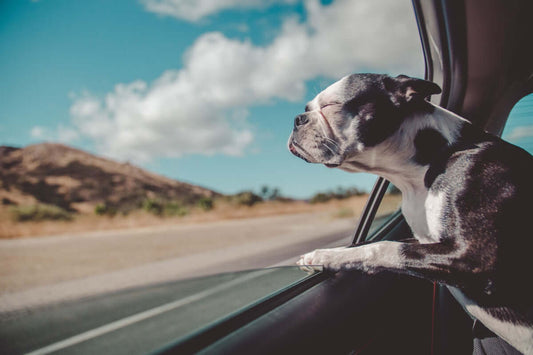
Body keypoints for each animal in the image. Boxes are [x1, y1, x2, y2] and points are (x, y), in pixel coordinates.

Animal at [288, 73, 532, 354]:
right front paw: (324, 255)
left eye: (331, 105)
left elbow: (382, 248)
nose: (297, 118)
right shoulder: (424, 241)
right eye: (307, 108)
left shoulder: (474, 257)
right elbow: (367, 245)